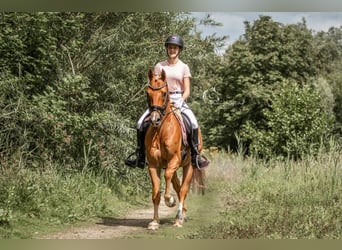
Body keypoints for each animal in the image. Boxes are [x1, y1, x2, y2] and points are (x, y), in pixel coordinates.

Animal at [144, 68, 206, 230]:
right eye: (147, 93)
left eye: (164, 93)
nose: (154, 119)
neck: (160, 131)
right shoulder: (153, 165)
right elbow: (155, 193)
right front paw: (154, 222)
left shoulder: (174, 160)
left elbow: (168, 181)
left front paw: (169, 200)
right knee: (178, 187)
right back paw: (182, 214)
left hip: (189, 165)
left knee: (183, 189)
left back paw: (179, 219)